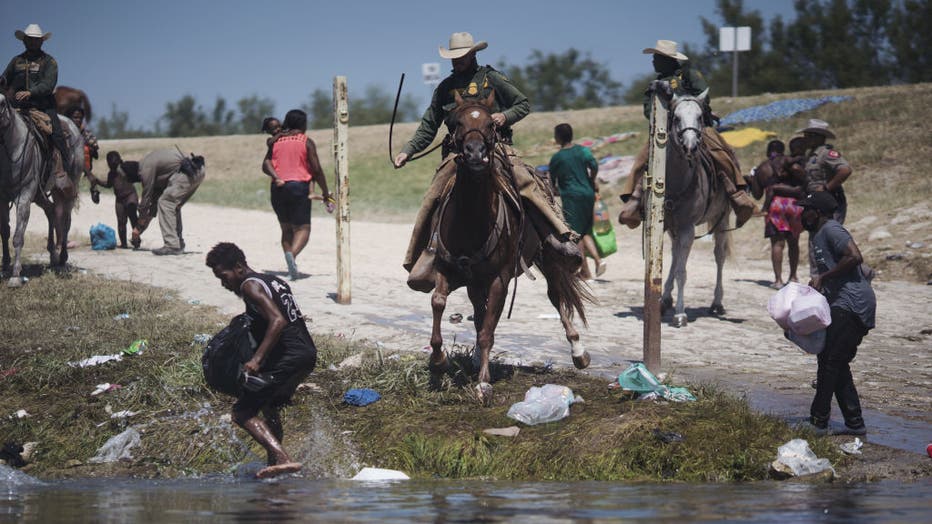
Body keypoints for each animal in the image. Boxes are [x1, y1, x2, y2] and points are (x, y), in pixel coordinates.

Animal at [0, 94, 83, 286]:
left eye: (1, 103)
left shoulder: (23, 197)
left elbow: (18, 236)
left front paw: (15, 276)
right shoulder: (2, 198)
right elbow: (5, 231)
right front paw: (5, 266)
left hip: (65, 190)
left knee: (65, 221)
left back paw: (62, 259)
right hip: (40, 195)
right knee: (51, 211)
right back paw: (53, 256)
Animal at [424, 91, 588, 402]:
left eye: (491, 124)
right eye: (456, 122)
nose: (476, 153)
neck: (471, 220)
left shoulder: (499, 279)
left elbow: (489, 330)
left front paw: (483, 383)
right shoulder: (446, 267)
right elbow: (439, 302)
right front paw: (438, 360)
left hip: (548, 258)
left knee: (556, 297)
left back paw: (578, 351)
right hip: (475, 280)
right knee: (478, 311)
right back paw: (476, 357)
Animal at [660, 90, 732, 328]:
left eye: (700, 117)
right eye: (676, 118)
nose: (690, 146)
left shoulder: (687, 228)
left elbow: (682, 272)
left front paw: (680, 314)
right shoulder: (668, 226)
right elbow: (673, 262)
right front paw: (666, 300)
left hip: (722, 219)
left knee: (719, 256)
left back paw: (717, 303)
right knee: (675, 254)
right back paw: (665, 299)